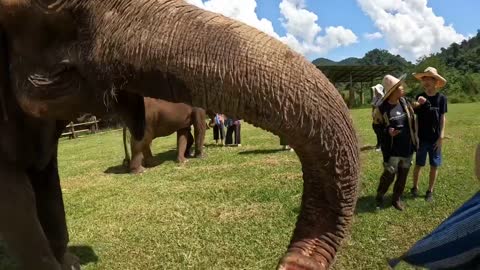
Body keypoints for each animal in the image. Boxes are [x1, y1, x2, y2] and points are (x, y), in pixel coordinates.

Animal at [0, 1, 360, 268]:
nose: (288, 262)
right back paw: (141, 171)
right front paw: (198, 156)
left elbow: (47, 177)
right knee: (140, 140)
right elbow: (16, 195)